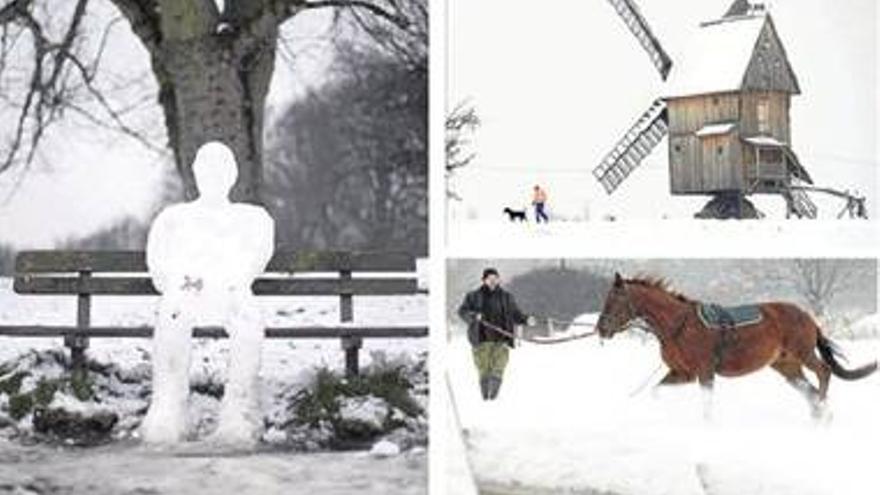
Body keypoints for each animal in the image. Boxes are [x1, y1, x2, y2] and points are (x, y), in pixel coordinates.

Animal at [596, 276, 876, 418]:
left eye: (614, 300)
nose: (601, 328)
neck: (679, 324)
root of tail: (808, 317)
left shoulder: (705, 373)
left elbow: (707, 408)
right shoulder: (683, 373)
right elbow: (657, 391)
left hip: (803, 353)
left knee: (823, 373)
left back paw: (822, 408)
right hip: (786, 366)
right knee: (809, 389)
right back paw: (819, 414)